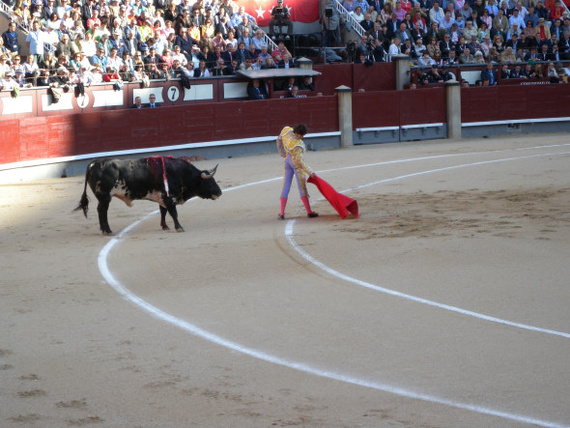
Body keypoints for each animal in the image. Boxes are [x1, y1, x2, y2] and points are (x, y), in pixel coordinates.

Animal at [76, 156, 223, 236]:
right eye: (209, 181)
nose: (220, 192)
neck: (180, 172)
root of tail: (93, 163)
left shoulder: (162, 197)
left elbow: (163, 211)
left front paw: (165, 226)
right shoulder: (169, 197)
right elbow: (173, 213)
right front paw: (179, 228)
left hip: (103, 198)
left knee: (100, 210)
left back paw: (103, 230)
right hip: (105, 196)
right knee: (102, 211)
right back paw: (108, 230)